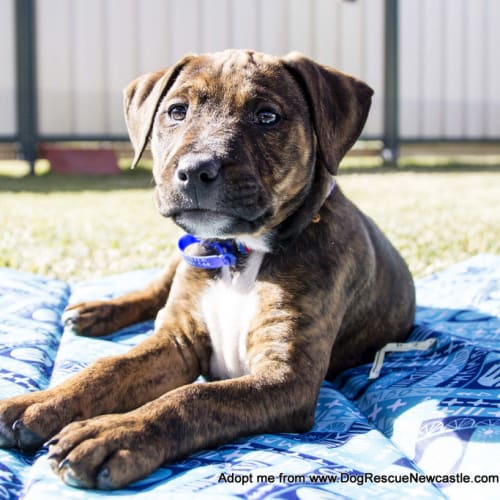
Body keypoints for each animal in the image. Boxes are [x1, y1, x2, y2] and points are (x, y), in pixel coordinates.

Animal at [0, 50, 414, 488]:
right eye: (176, 112)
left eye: (267, 116)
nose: (196, 170)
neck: (240, 253)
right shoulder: (178, 339)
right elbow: (109, 369)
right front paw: (39, 402)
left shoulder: (287, 377)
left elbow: (192, 397)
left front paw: (111, 434)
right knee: (153, 289)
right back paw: (97, 310)